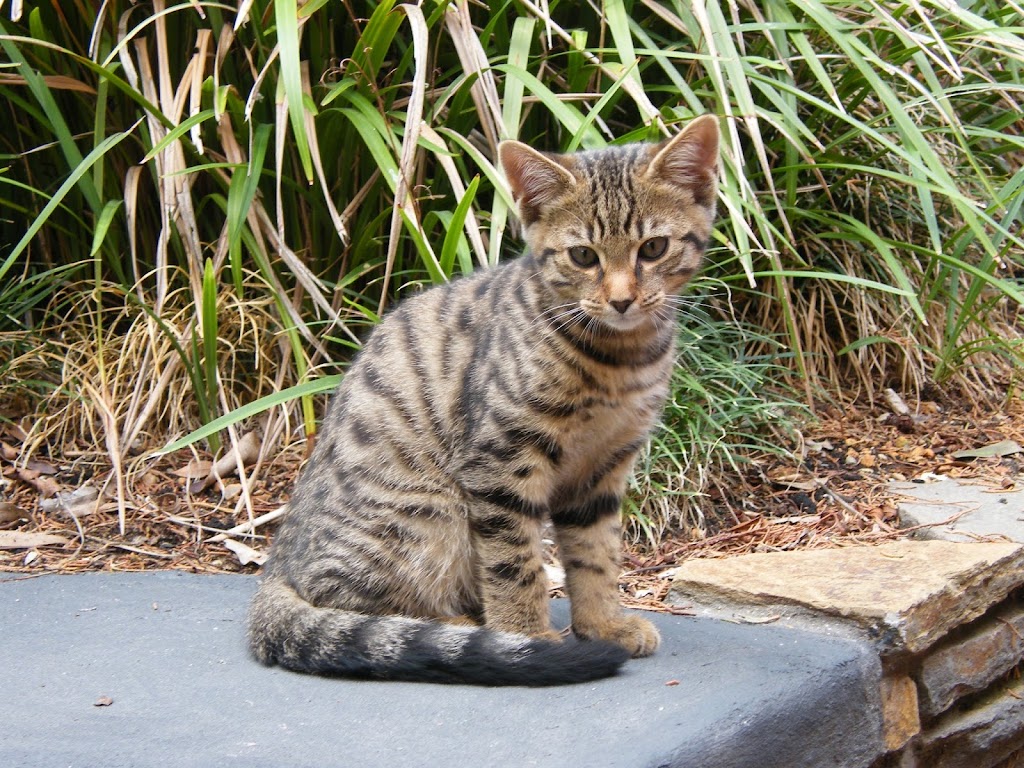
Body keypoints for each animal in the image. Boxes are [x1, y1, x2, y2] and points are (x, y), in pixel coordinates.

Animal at [247, 112, 720, 684]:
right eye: (583, 256)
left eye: (652, 248)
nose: (622, 299)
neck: (618, 361)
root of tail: (277, 566)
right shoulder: (499, 461)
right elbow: (515, 565)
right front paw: (528, 638)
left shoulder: (603, 469)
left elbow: (597, 556)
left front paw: (603, 624)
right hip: (429, 515)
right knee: (352, 602)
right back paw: (460, 628)